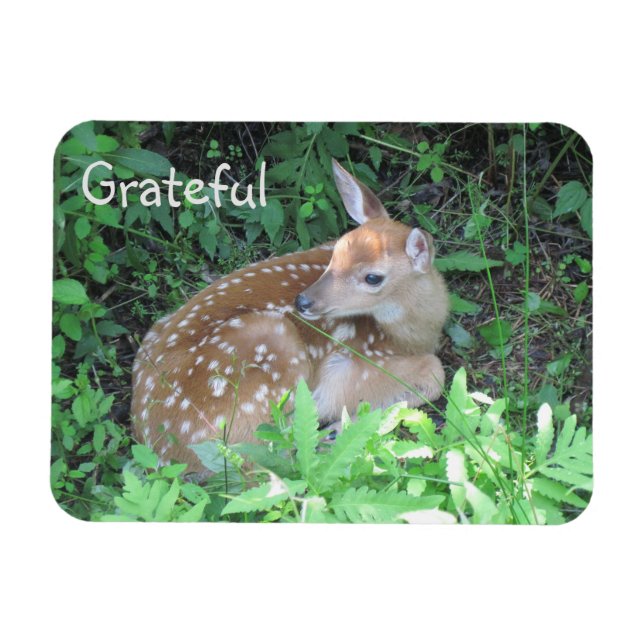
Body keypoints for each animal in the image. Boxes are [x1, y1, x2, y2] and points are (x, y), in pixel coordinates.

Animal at [131, 159, 449, 472]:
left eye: (373, 277)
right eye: (335, 253)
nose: (304, 301)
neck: (410, 335)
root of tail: (161, 452)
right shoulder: (354, 363)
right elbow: (435, 372)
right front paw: (342, 426)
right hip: (271, 349)